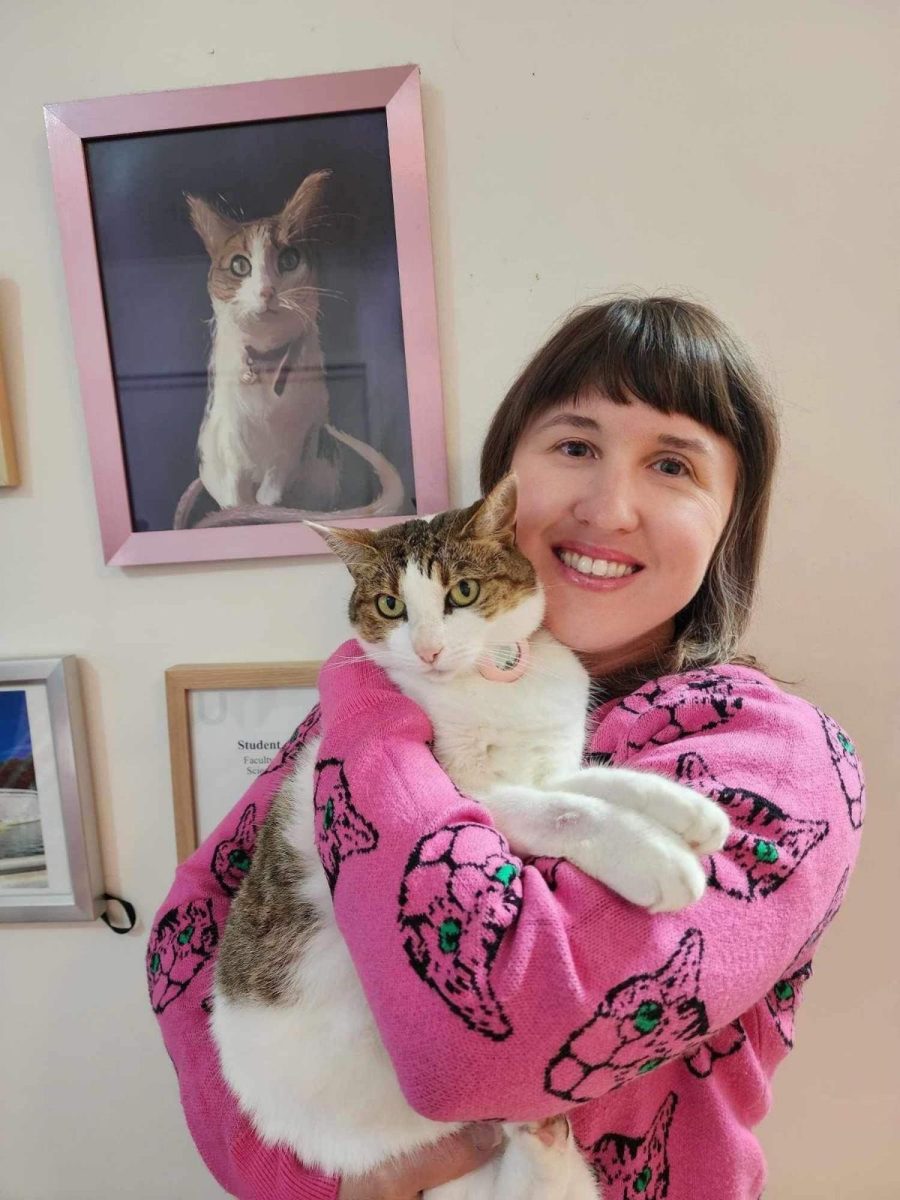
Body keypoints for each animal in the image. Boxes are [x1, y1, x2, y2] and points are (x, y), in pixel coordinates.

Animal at [187, 170, 400, 520]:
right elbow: (236, 485)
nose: (266, 291)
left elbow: (274, 480)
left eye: (289, 259)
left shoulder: (299, 432)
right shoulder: (230, 430)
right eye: (240, 265)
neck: (265, 357)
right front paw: (238, 511)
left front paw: (265, 507)